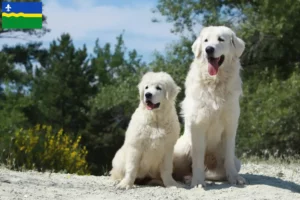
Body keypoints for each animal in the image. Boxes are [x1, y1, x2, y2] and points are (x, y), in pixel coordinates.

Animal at [173, 25, 246, 187]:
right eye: (206, 41)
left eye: (221, 39)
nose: (209, 49)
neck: (215, 83)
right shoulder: (198, 125)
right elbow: (198, 158)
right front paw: (198, 182)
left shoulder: (230, 125)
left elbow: (229, 157)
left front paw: (234, 178)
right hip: (180, 150)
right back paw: (189, 178)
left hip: (235, 162)